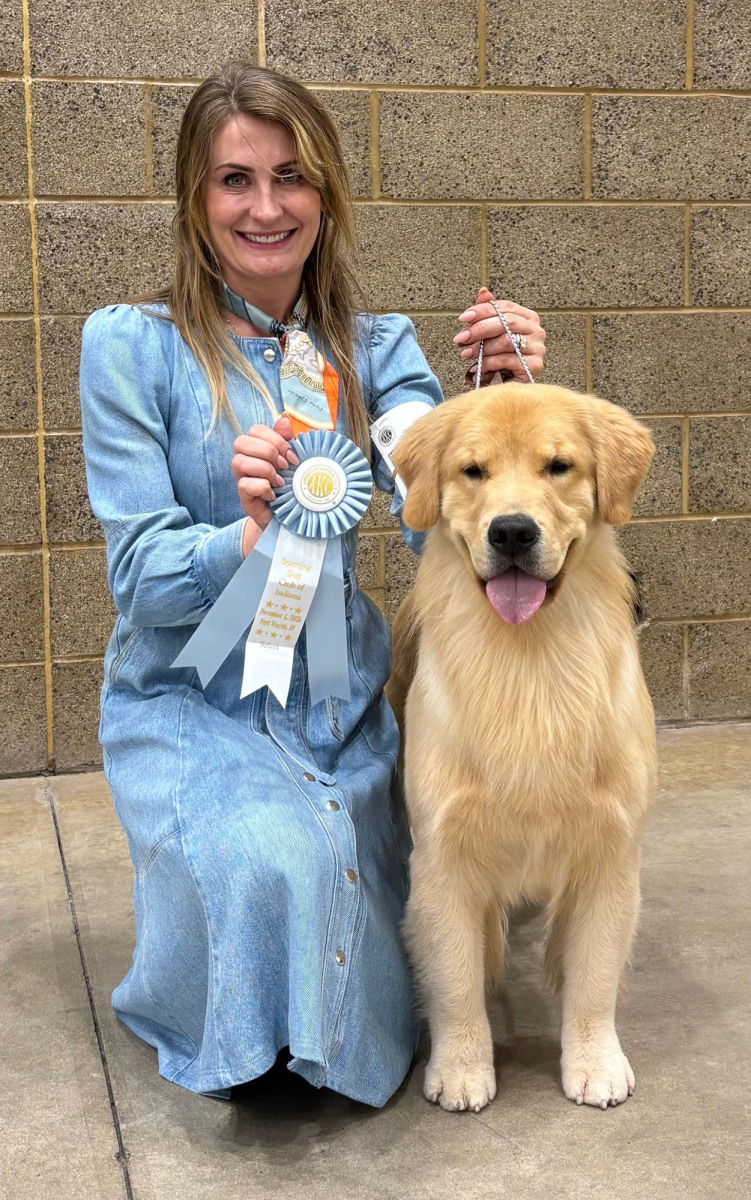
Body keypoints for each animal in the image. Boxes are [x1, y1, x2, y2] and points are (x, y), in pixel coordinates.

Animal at [387, 383, 657, 1112]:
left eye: (558, 466)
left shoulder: (609, 851)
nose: (511, 531)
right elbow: (454, 977)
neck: (527, 657)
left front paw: (594, 1060)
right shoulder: (443, 854)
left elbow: (593, 975)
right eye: (472, 471)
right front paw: (461, 1066)